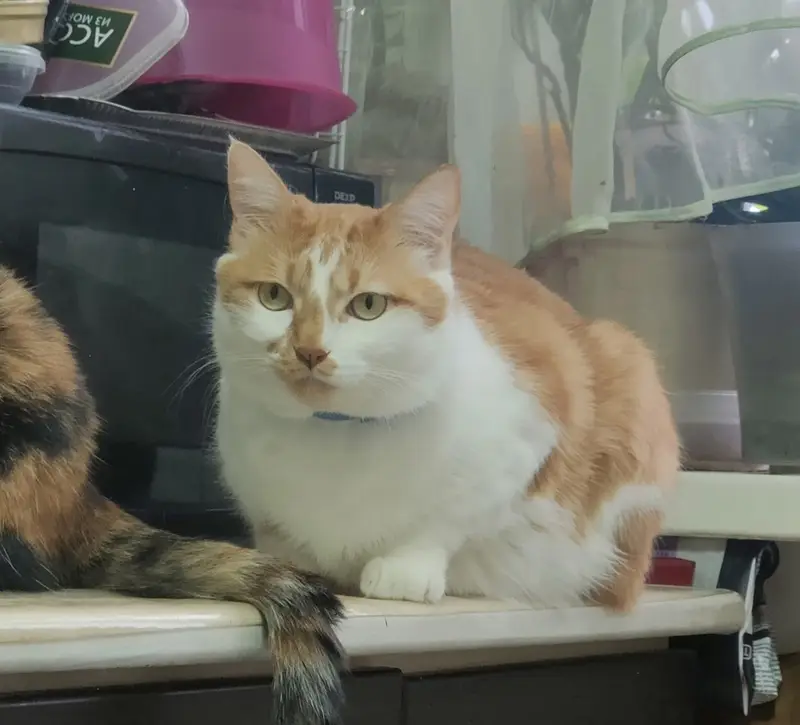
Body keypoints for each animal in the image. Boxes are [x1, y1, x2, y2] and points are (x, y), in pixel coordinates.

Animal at [213, 139, 680, 611]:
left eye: (368, 305)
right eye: (274, 296)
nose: (309, 351)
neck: (334, 435)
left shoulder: (533, 430)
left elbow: (448, 520)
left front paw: (405, 568)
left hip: (629, 363)